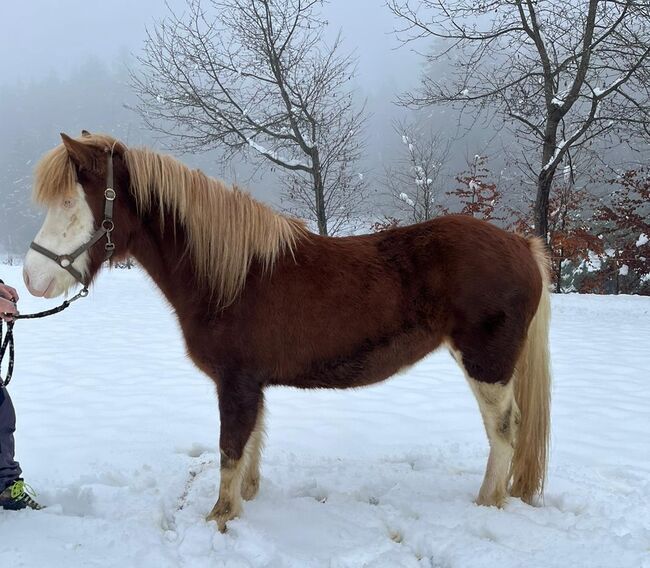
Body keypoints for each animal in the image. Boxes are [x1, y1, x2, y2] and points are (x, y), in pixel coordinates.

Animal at [22, 133, 548, 532]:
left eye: (70, 201)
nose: (31, 278)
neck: (232, 276)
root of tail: (522, 245)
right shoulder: (250, 384)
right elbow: (251, 443)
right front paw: (246, 500)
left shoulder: (235, 383)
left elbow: (230, 448)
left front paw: (220, 517)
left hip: (487, 364)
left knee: (505, 429)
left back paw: (486, 502)